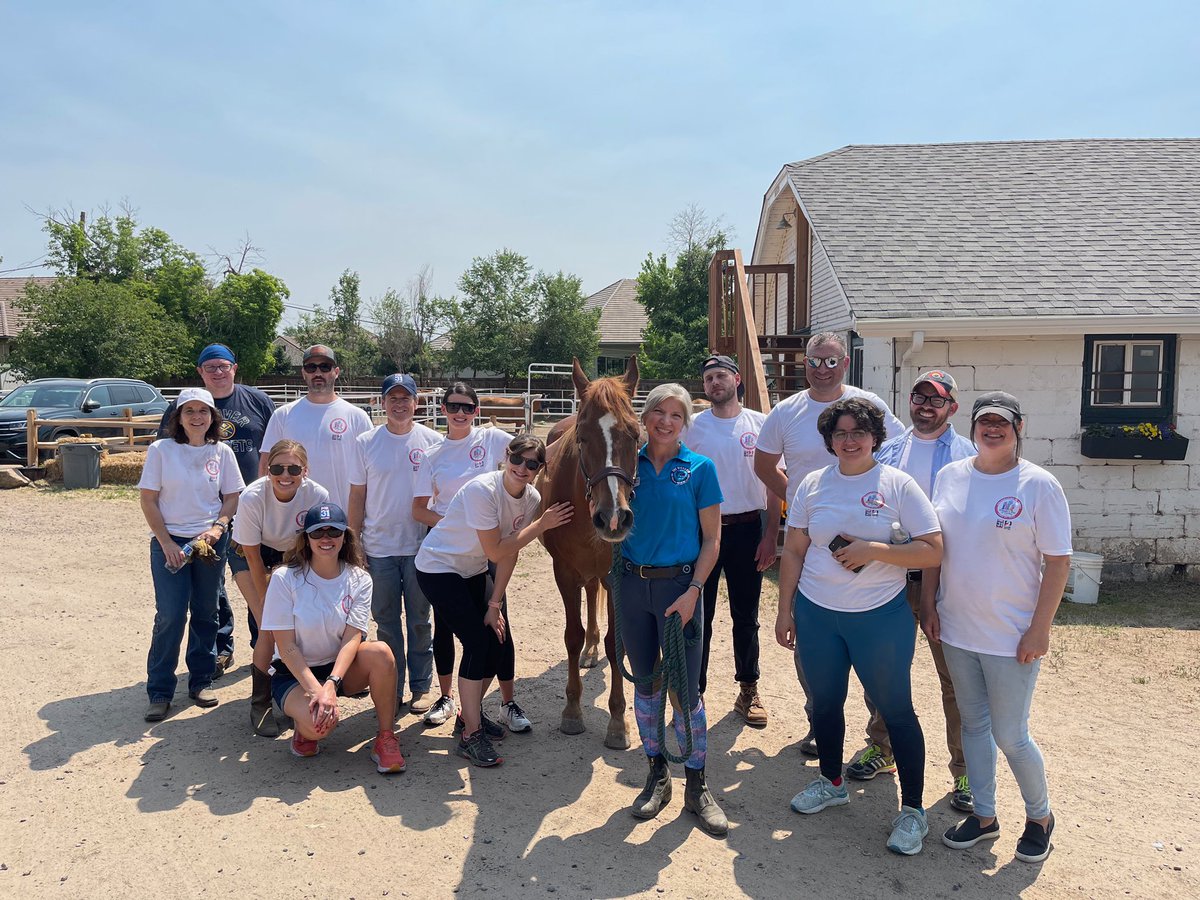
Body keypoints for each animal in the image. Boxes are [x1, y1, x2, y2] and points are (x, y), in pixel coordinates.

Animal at [540, 355, 643, 748]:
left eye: (636, 435)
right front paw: (572, 712)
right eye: (582, 438)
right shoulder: (565, 571)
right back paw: (589, 649)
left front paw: (617, 721)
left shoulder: (616, 577)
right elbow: (571, 635)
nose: (613, 518)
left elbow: (618, 646)